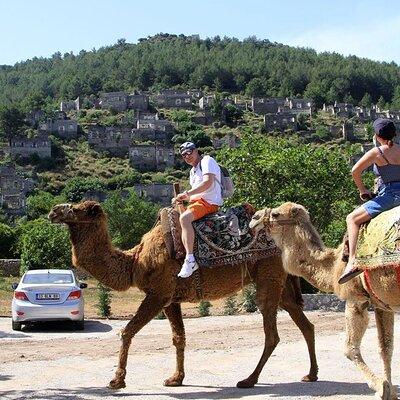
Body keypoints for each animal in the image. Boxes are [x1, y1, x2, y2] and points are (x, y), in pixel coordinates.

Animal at [47, 202, 318, 390]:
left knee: (272, 334)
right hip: (281, 283)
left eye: (78, 209)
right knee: (305, 324)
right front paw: (176, 378)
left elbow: (127, 331)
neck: (135, 262)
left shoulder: (157, 294)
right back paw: (311, 374)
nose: (53, 211)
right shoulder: (171, 299)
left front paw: (117, 381)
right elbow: (179, 337)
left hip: (268, 278)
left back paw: (249, 380)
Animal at [250, 203, 400, 400]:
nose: (254, 219)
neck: (335, 265)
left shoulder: (355, 299)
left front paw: (380, 387)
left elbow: (349, 348)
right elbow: (386, 348)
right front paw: (389, 391)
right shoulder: (382, 304)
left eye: (275, 214)